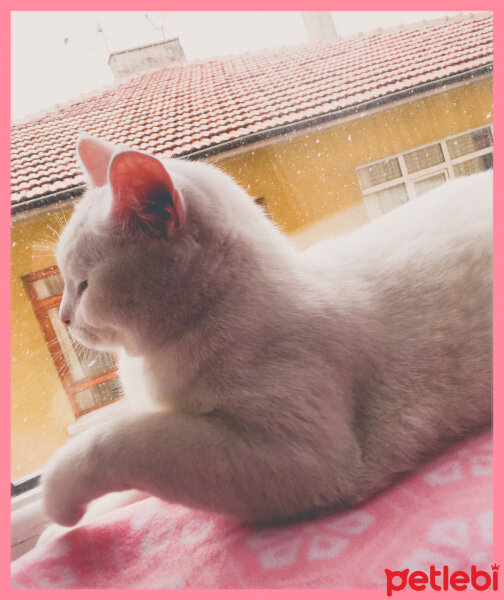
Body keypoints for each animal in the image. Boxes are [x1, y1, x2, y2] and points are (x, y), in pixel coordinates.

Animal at [40, 135, 492, 524]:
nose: (63, 316)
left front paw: (59, 499)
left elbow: (125, 441)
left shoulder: (302, 457)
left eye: (83, 284)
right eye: (63, 281)